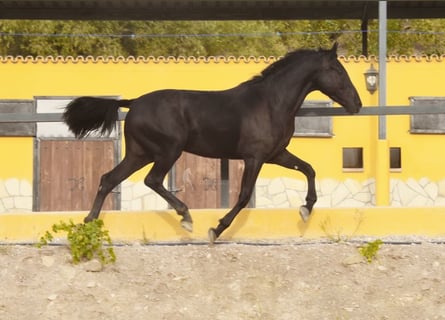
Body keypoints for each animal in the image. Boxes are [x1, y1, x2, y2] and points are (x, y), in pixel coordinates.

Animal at [62, 42, 360, 242]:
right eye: (337, 70)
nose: (356, 104)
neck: (270, 103)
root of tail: (133, 103)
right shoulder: (255, 157)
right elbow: (243, 196)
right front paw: (215, 230)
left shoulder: (276, 154)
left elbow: (309, 169)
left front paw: (306, 209)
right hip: (168, 151)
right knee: (152, 180)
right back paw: (186, 217)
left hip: (139, 153)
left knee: (108, 179)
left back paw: (89, 224)